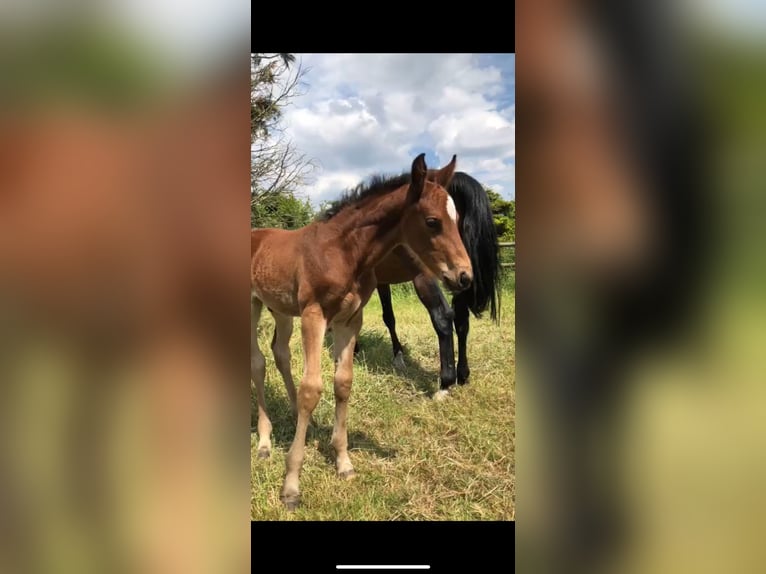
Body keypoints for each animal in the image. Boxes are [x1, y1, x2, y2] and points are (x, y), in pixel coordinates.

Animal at [252, 154, 472, 512]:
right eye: (432, 221)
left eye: (456, 218)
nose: (465, 276)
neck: (343, 252)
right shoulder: (314, 315)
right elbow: (312, 388)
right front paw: (291, 485)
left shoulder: (349, 320)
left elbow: (342, 383)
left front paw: (343, 462)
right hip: (254, 304)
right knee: (257, 362)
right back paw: (264, 442)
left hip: (281, 309)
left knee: (279, 351)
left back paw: (295, 418)